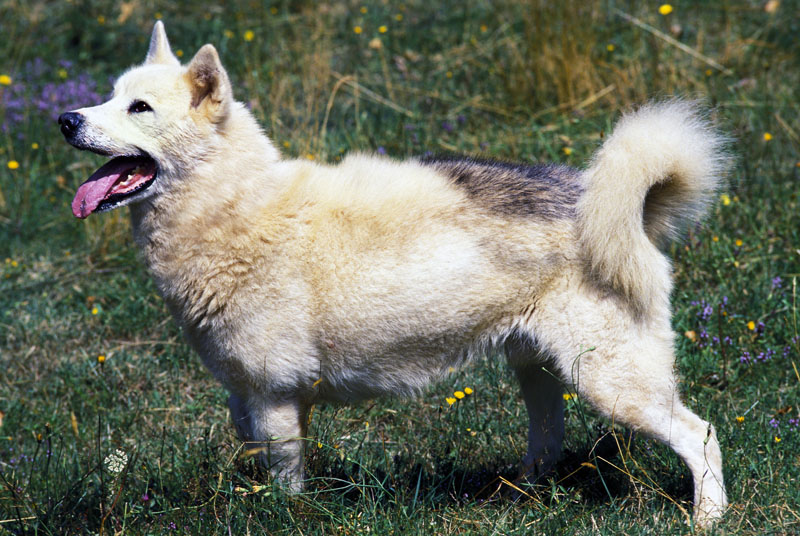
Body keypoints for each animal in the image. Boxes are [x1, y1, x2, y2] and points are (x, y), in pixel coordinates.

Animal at [59, 22, 728, 528]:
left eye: (140, 108)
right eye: (110, 96)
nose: (66, 119)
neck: (239, 211)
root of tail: (606, 202)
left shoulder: (275, 395)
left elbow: (285, 483)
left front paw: (282, 517)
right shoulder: (247, 396)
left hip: (613, 384)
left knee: (701, 435)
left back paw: (710, 518)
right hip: (538, 370)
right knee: (549, 441)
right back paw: (521, 497)